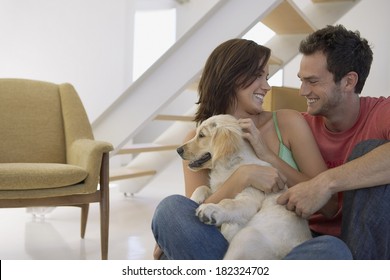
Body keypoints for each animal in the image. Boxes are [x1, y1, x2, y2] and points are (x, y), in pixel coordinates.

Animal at [177, 114, 310, 260]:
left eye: (201, 135)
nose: (178, 150)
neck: (231, 164)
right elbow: (203, 187)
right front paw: (194, 198)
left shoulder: (250, 197)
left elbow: (228, 202)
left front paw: (211, 210)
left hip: (247, 236)